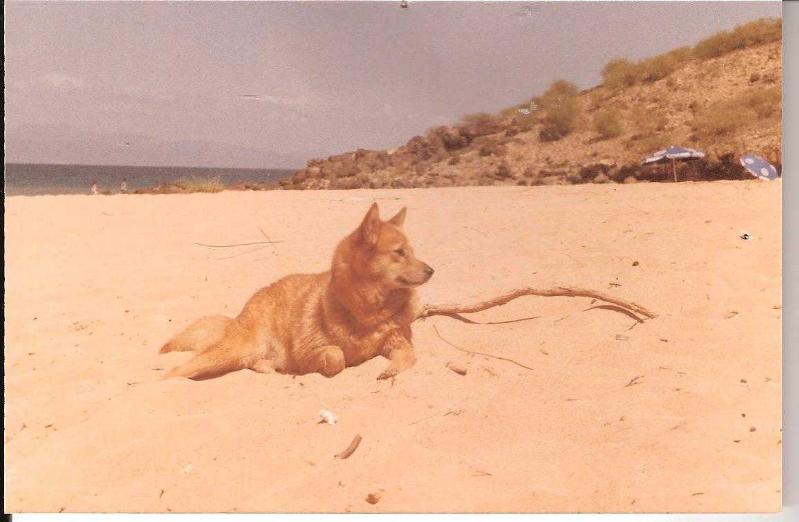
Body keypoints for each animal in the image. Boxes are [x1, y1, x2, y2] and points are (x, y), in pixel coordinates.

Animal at [159, 202, 434, 378]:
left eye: (412, 251)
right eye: (399, 252)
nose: (432, 270)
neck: (367, 313)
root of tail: (240, 313)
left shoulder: (397, 341)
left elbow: (409, 356)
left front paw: (391, 370)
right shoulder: (308, 351)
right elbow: (336, 355)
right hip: (234, 350)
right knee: (177, 371)